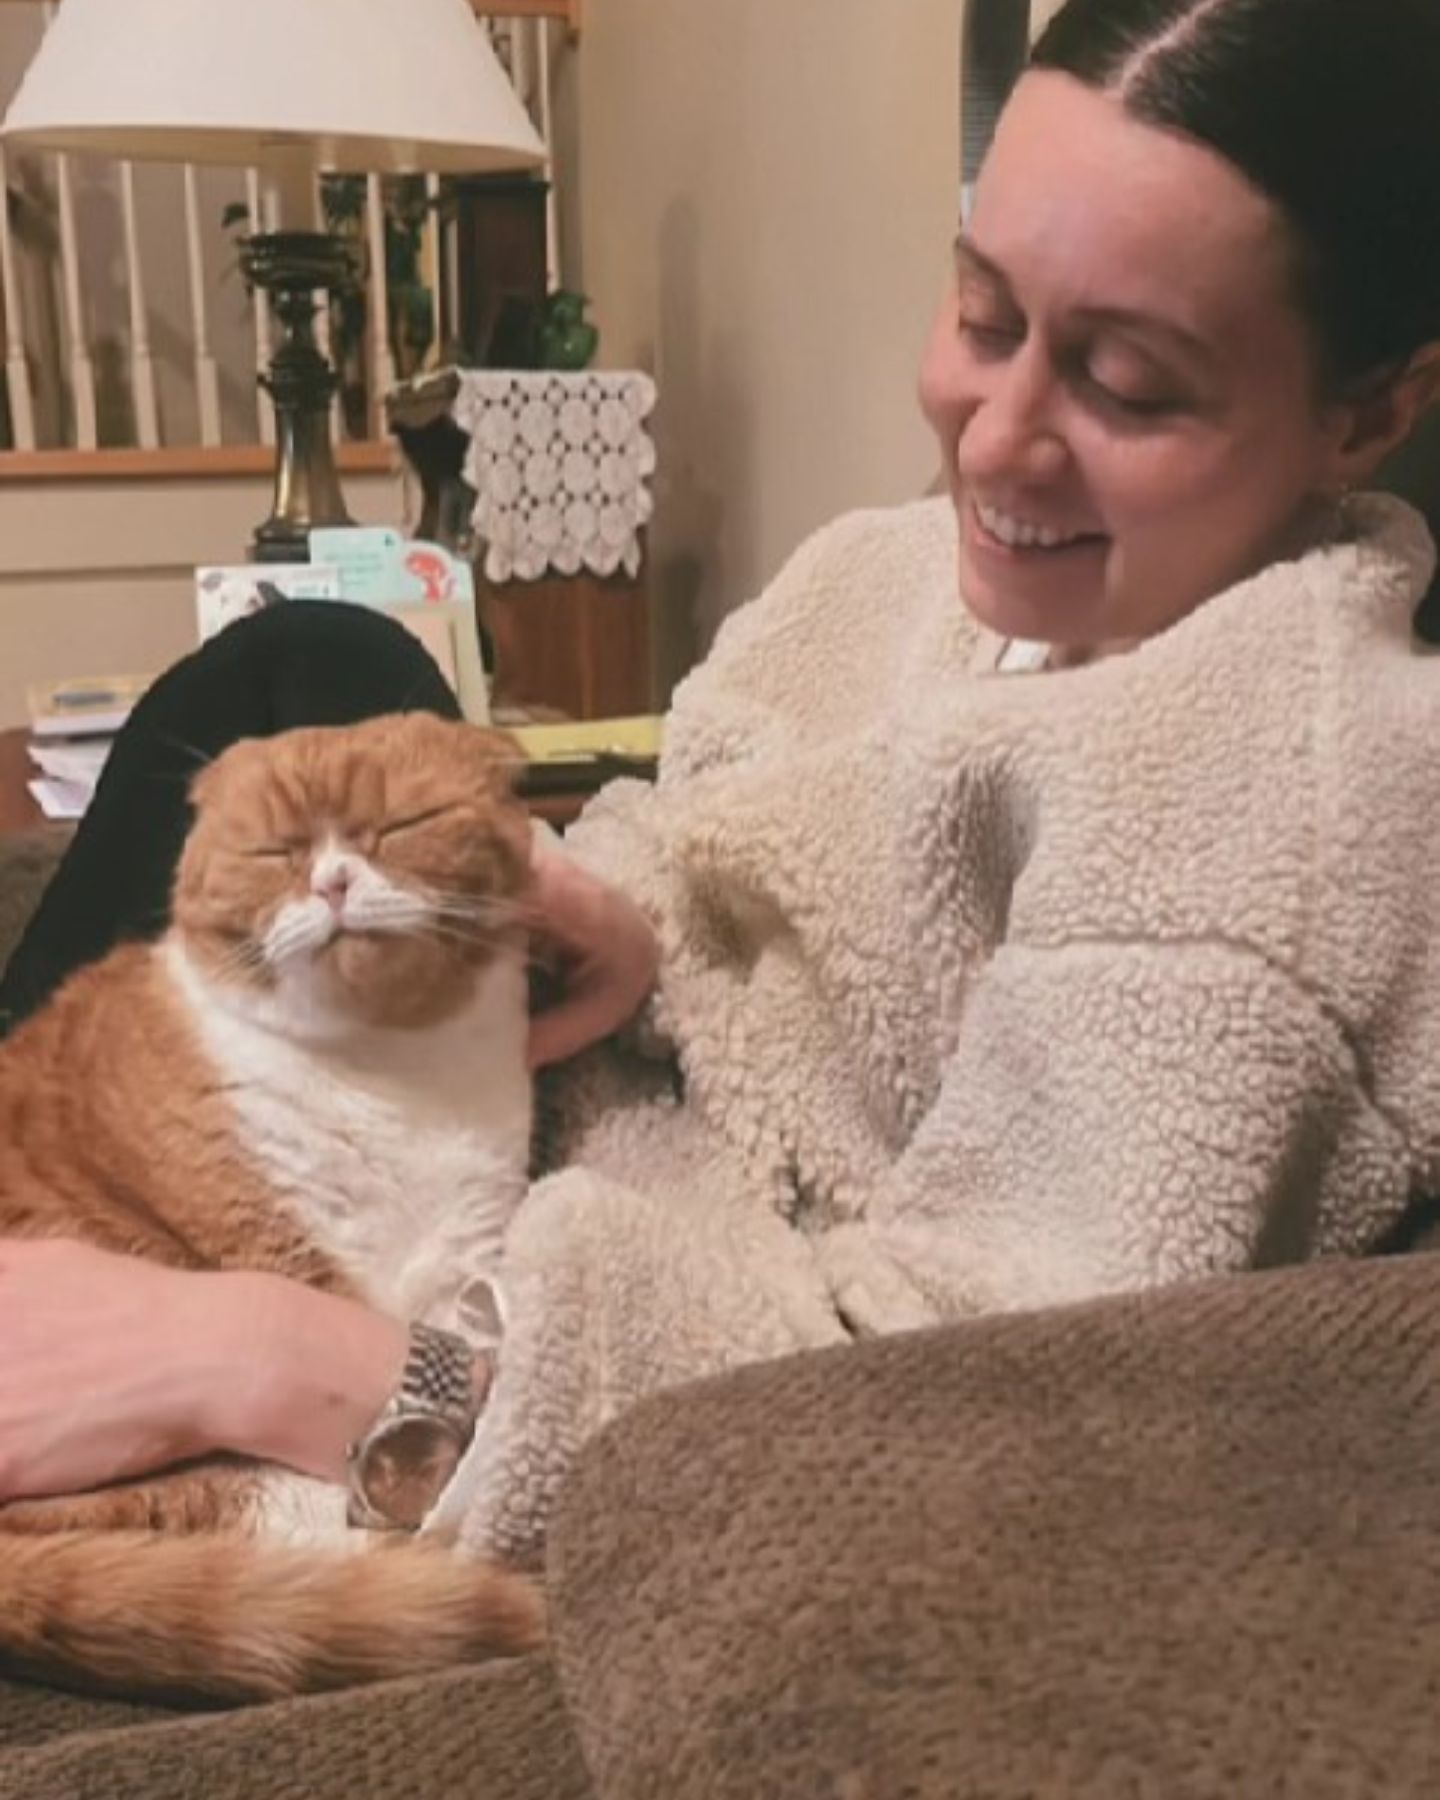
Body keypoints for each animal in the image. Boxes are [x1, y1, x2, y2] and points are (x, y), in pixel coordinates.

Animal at [0, 709, 547, 1692]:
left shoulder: (469, 1258)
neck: (392, 1073)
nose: (333, 880)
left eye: (399, 827)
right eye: (274, 850)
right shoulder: (274, 1245)